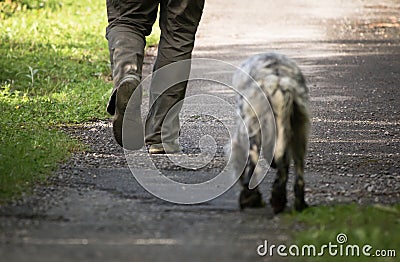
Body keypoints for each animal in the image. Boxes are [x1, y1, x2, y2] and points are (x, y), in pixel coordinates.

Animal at [230, 52, 310, 213]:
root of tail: (278, 83)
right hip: (299, 133)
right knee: (293, 170)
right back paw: (289, 201)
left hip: (254, 132)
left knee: (253, 165)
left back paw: (252, 198)